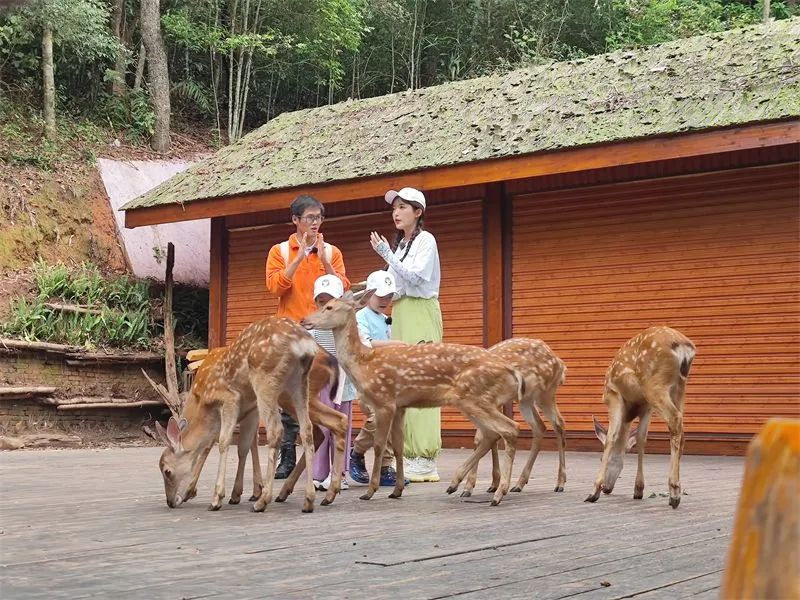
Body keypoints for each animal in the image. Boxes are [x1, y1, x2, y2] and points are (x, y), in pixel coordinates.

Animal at [153, 317, 323, 513]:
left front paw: (216, 498)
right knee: (307, 430)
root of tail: (304, 343)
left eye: (167, 471)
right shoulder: (249, 409)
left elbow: (222, 442)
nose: (170, 502)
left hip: (265, 381)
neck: (202, 400)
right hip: (299, 382)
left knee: (276, 431)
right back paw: (308, 500)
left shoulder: (229, 398)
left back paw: (263, 501)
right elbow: (242, 446)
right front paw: (234, 494)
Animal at [301, 290, 525, 506]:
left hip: (473, 397)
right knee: (491, 435)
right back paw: (461, 484)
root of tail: (510, 370)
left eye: (329, 307)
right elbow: (399, 447)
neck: (364, 365)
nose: (304, 320)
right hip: (474, 400)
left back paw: (498, 492)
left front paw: (370, 491)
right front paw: (397, 490)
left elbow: (379, 446)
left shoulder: (384, 401)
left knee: (509, 428)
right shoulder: (400, 407)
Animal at [460, 338, 567, 498]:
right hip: (526, 399)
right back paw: (519, 484)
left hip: (545, 393)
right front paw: (493, 484)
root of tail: (560, 363)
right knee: (540, 426)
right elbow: (489, 437)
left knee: (558, 423)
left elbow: (482, 438)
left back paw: (560, 483)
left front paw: (468, 487)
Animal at [585, 326, 696, 509]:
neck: (631, 411)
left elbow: (611, 438)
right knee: (681, 428)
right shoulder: (646, 406)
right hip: (679, 388)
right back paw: (676, 492)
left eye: (600, 458)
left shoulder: (613, 396)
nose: (607, 488)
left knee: (675, 419)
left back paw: (674, 491)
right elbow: (642, 439)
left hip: (654, 385)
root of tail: (684, 348)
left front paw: (594, 491)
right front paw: (638, 489)